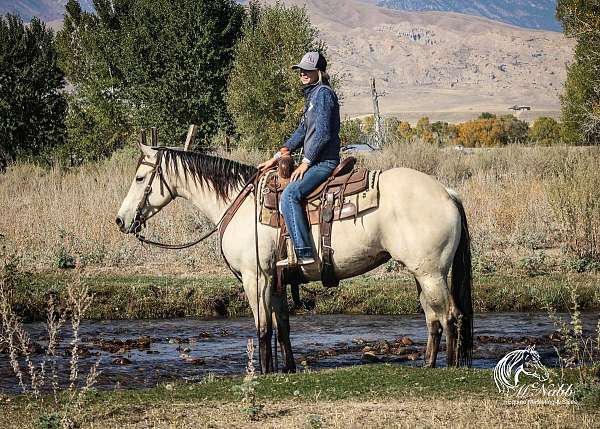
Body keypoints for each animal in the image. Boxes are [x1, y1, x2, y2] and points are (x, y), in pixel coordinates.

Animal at [116, 142, 474, 372]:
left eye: (139, 178)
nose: (121, 220)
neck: (239, 204)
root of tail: (446, 193)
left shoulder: (255, 277)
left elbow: (262, 328)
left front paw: (263, 372)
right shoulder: (275, 280)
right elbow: (283, 327)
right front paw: (286, 368)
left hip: (431, 272)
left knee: (449, 315)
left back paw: (449, 367)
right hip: (421, 273)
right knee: (433, 316)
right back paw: (428, 363)